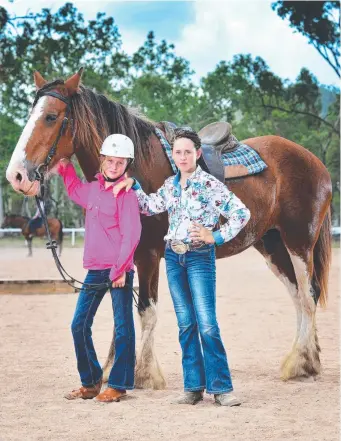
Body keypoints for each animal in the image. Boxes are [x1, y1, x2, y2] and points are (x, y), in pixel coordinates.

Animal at [4, 67, 330, 386]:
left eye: (51, 116)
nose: (16, 175)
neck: (136, 166)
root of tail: (315, 161)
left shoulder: (148, 255)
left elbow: (146, 311)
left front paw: (144, 374)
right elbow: (122, 307)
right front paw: (113, 369)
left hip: (299, 243)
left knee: (308, 295)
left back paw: (300, 364)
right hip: (272, 244)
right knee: (298, 296)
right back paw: (309, 361)